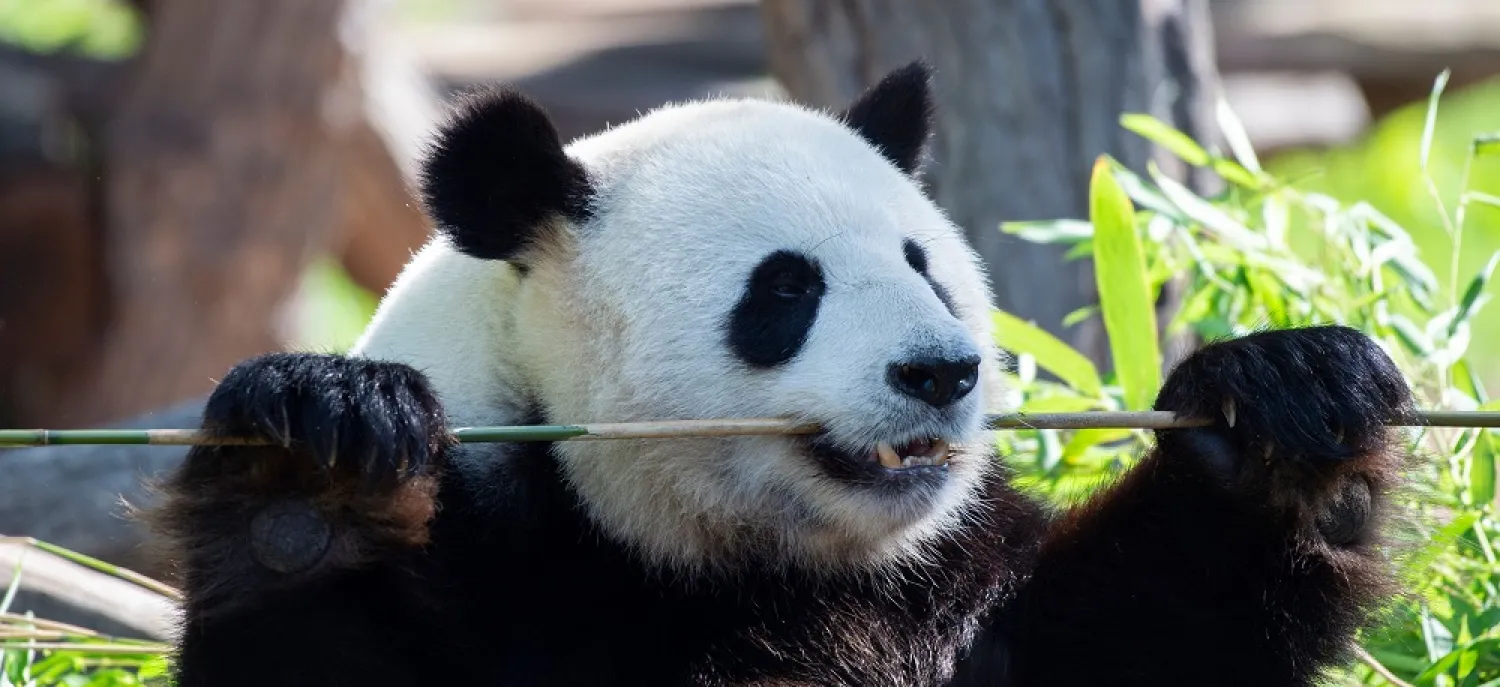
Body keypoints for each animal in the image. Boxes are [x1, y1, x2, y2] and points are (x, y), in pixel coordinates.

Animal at [148, 62, 1416, 686]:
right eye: (786, 290)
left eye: (922, 264)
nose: (942, 373)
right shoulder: (501, 565)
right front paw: (314, 470)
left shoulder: (955, 584)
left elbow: (1143, 632)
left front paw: (1286, 407)